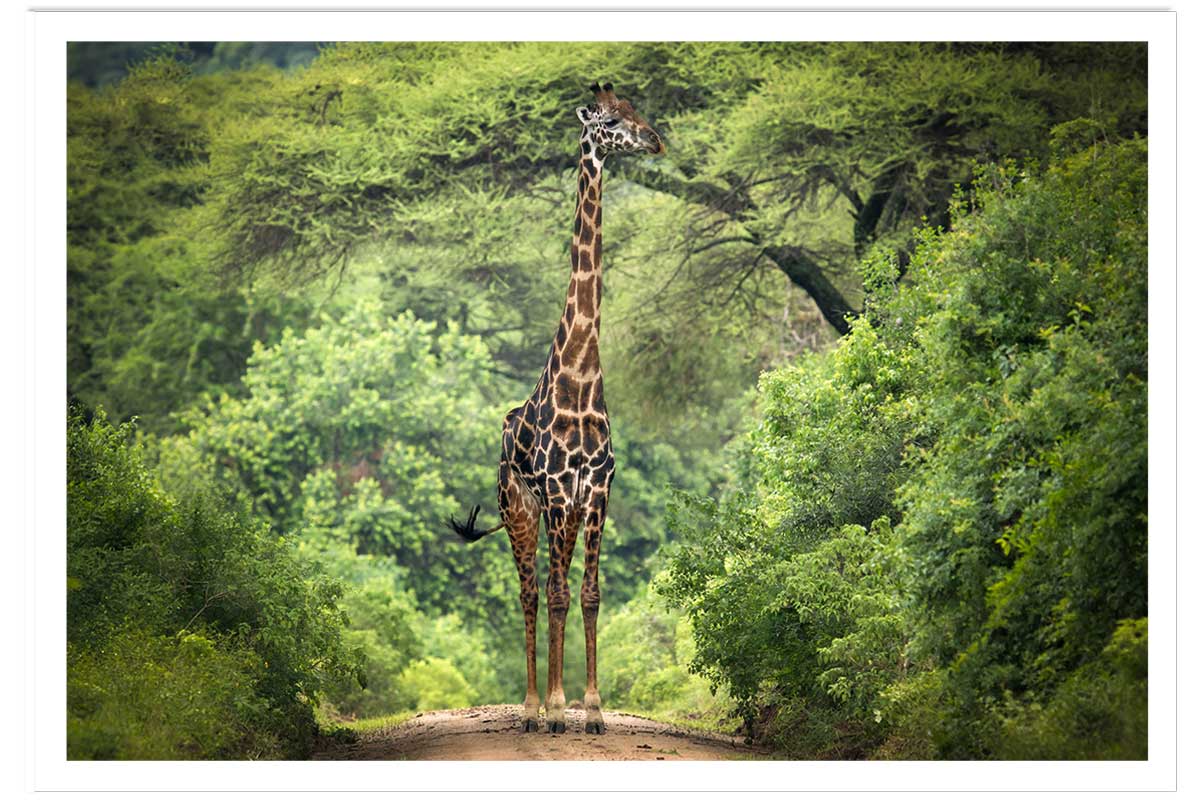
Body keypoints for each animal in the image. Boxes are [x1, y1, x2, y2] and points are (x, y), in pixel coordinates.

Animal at [448, 82, 664, 735]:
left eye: (636, 109)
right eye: (611, 121)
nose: (656, 139)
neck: (582, 378)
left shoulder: (596, 491)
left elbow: (588, 594)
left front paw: (591, 709)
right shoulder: (556, 493)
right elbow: (558, 594)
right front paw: (560, 708)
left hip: (555, 512)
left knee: (551, 588)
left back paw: (550, 705)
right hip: (519, 508)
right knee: (530, 591)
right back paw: (531, 708)